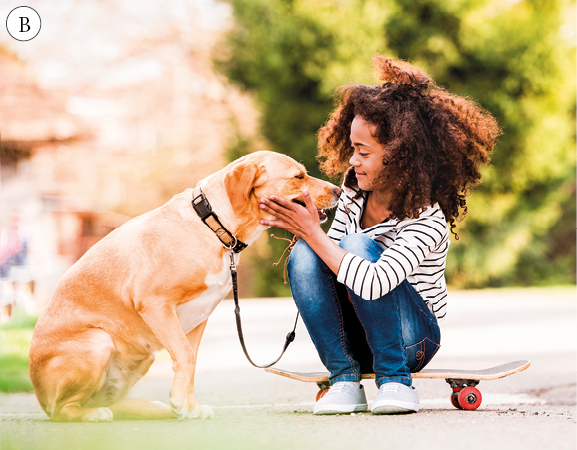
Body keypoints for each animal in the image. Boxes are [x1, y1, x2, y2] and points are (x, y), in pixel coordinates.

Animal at [29, 152, 340, 422]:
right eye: (298, 176)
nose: (338, 190)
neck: (213, 227)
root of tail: (39, 396)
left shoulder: (198, 317)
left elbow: (191, 358)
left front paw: (188, 406)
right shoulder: (155, 304)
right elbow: (186, 356)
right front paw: (181, 402)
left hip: (142, 357)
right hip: (99, 342)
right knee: (62, 410)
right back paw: (92, 414)